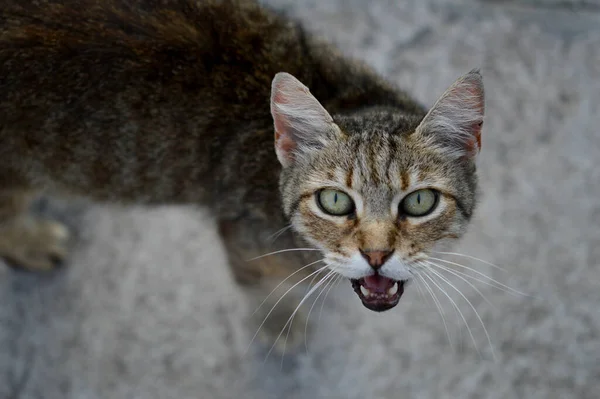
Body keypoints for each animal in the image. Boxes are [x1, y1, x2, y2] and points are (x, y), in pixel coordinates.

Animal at [0, 0, 482, 350]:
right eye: (334, 201)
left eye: (419, 201)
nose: (377, 255)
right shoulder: (245, 241)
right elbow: (267, 290)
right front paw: (283, 323)